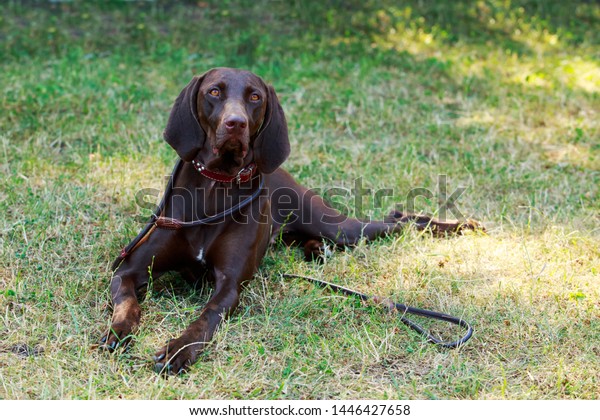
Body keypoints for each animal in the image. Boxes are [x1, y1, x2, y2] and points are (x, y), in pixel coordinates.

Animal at [102, 68, 478, 374]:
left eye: (254, 96)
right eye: (214, 92)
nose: (236, 123)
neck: (215, 186)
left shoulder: (229, 286)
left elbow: (206, 317)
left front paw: (179, 348)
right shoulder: (129, 269)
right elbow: (127, 304)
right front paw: (118, 332)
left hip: (337, 226)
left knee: (397, 221)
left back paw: (460, 226)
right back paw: (317, 250)